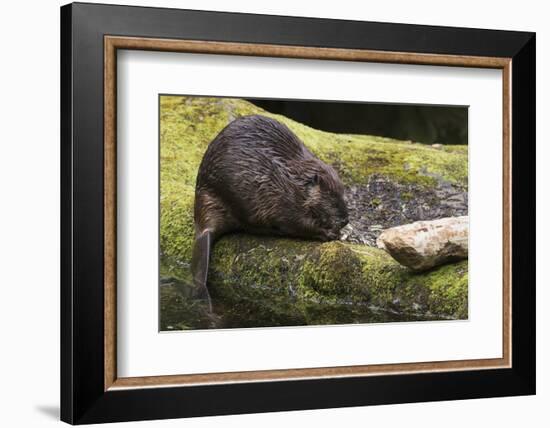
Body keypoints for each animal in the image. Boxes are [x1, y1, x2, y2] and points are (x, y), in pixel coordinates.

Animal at [193, 113, 350, 310]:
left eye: (343, 193)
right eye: (331, 196)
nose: (345, 220)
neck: (294, 180)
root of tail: (204, 229)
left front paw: (339, 232)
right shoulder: (281, 198)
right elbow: (299, 223)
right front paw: (330, 233)